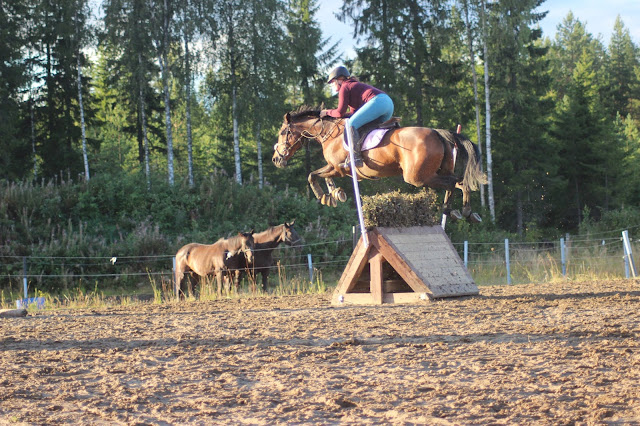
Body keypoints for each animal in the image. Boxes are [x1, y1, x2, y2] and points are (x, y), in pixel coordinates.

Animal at [272, 107, 487, 222]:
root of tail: (437, 132)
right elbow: (318, 175)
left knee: (452, 183)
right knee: (460, 182)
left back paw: (450, 211)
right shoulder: (335, 168)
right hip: (436, 171)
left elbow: (313, 175)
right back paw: (465, 212)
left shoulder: (339, 168)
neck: (329, 132)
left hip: (418, 177)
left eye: (282, 133)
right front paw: (334, 194)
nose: (276, 159)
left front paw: (324, 196)